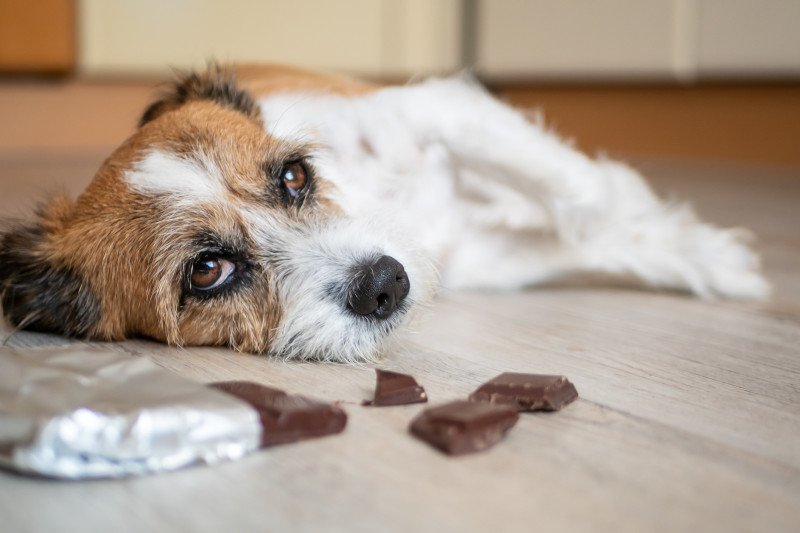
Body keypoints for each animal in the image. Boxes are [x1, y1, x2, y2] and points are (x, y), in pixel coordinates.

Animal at [0, 63, 768, 362]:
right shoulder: (481, 259)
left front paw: (708, 255)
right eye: (207, 271)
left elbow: (585, 198)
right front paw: (699, 253)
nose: (385, 283)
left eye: (294, 176)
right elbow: (584, 231)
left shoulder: (439, 110)